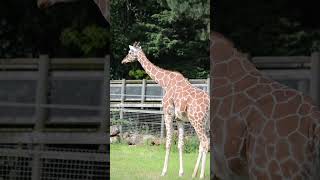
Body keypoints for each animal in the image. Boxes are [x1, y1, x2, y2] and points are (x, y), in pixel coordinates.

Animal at [120, 41, 210, 179]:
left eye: (130, 52)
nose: (123, 60)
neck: (165, 82)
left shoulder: (167, 113)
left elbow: (168, 143)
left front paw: (163, 172)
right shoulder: (179, 119)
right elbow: (180, 144)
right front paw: (181, 172)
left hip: (197, 120)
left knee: (205, 142)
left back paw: (201, 175)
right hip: (205, 122)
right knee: (203, 142)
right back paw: (195, 173)